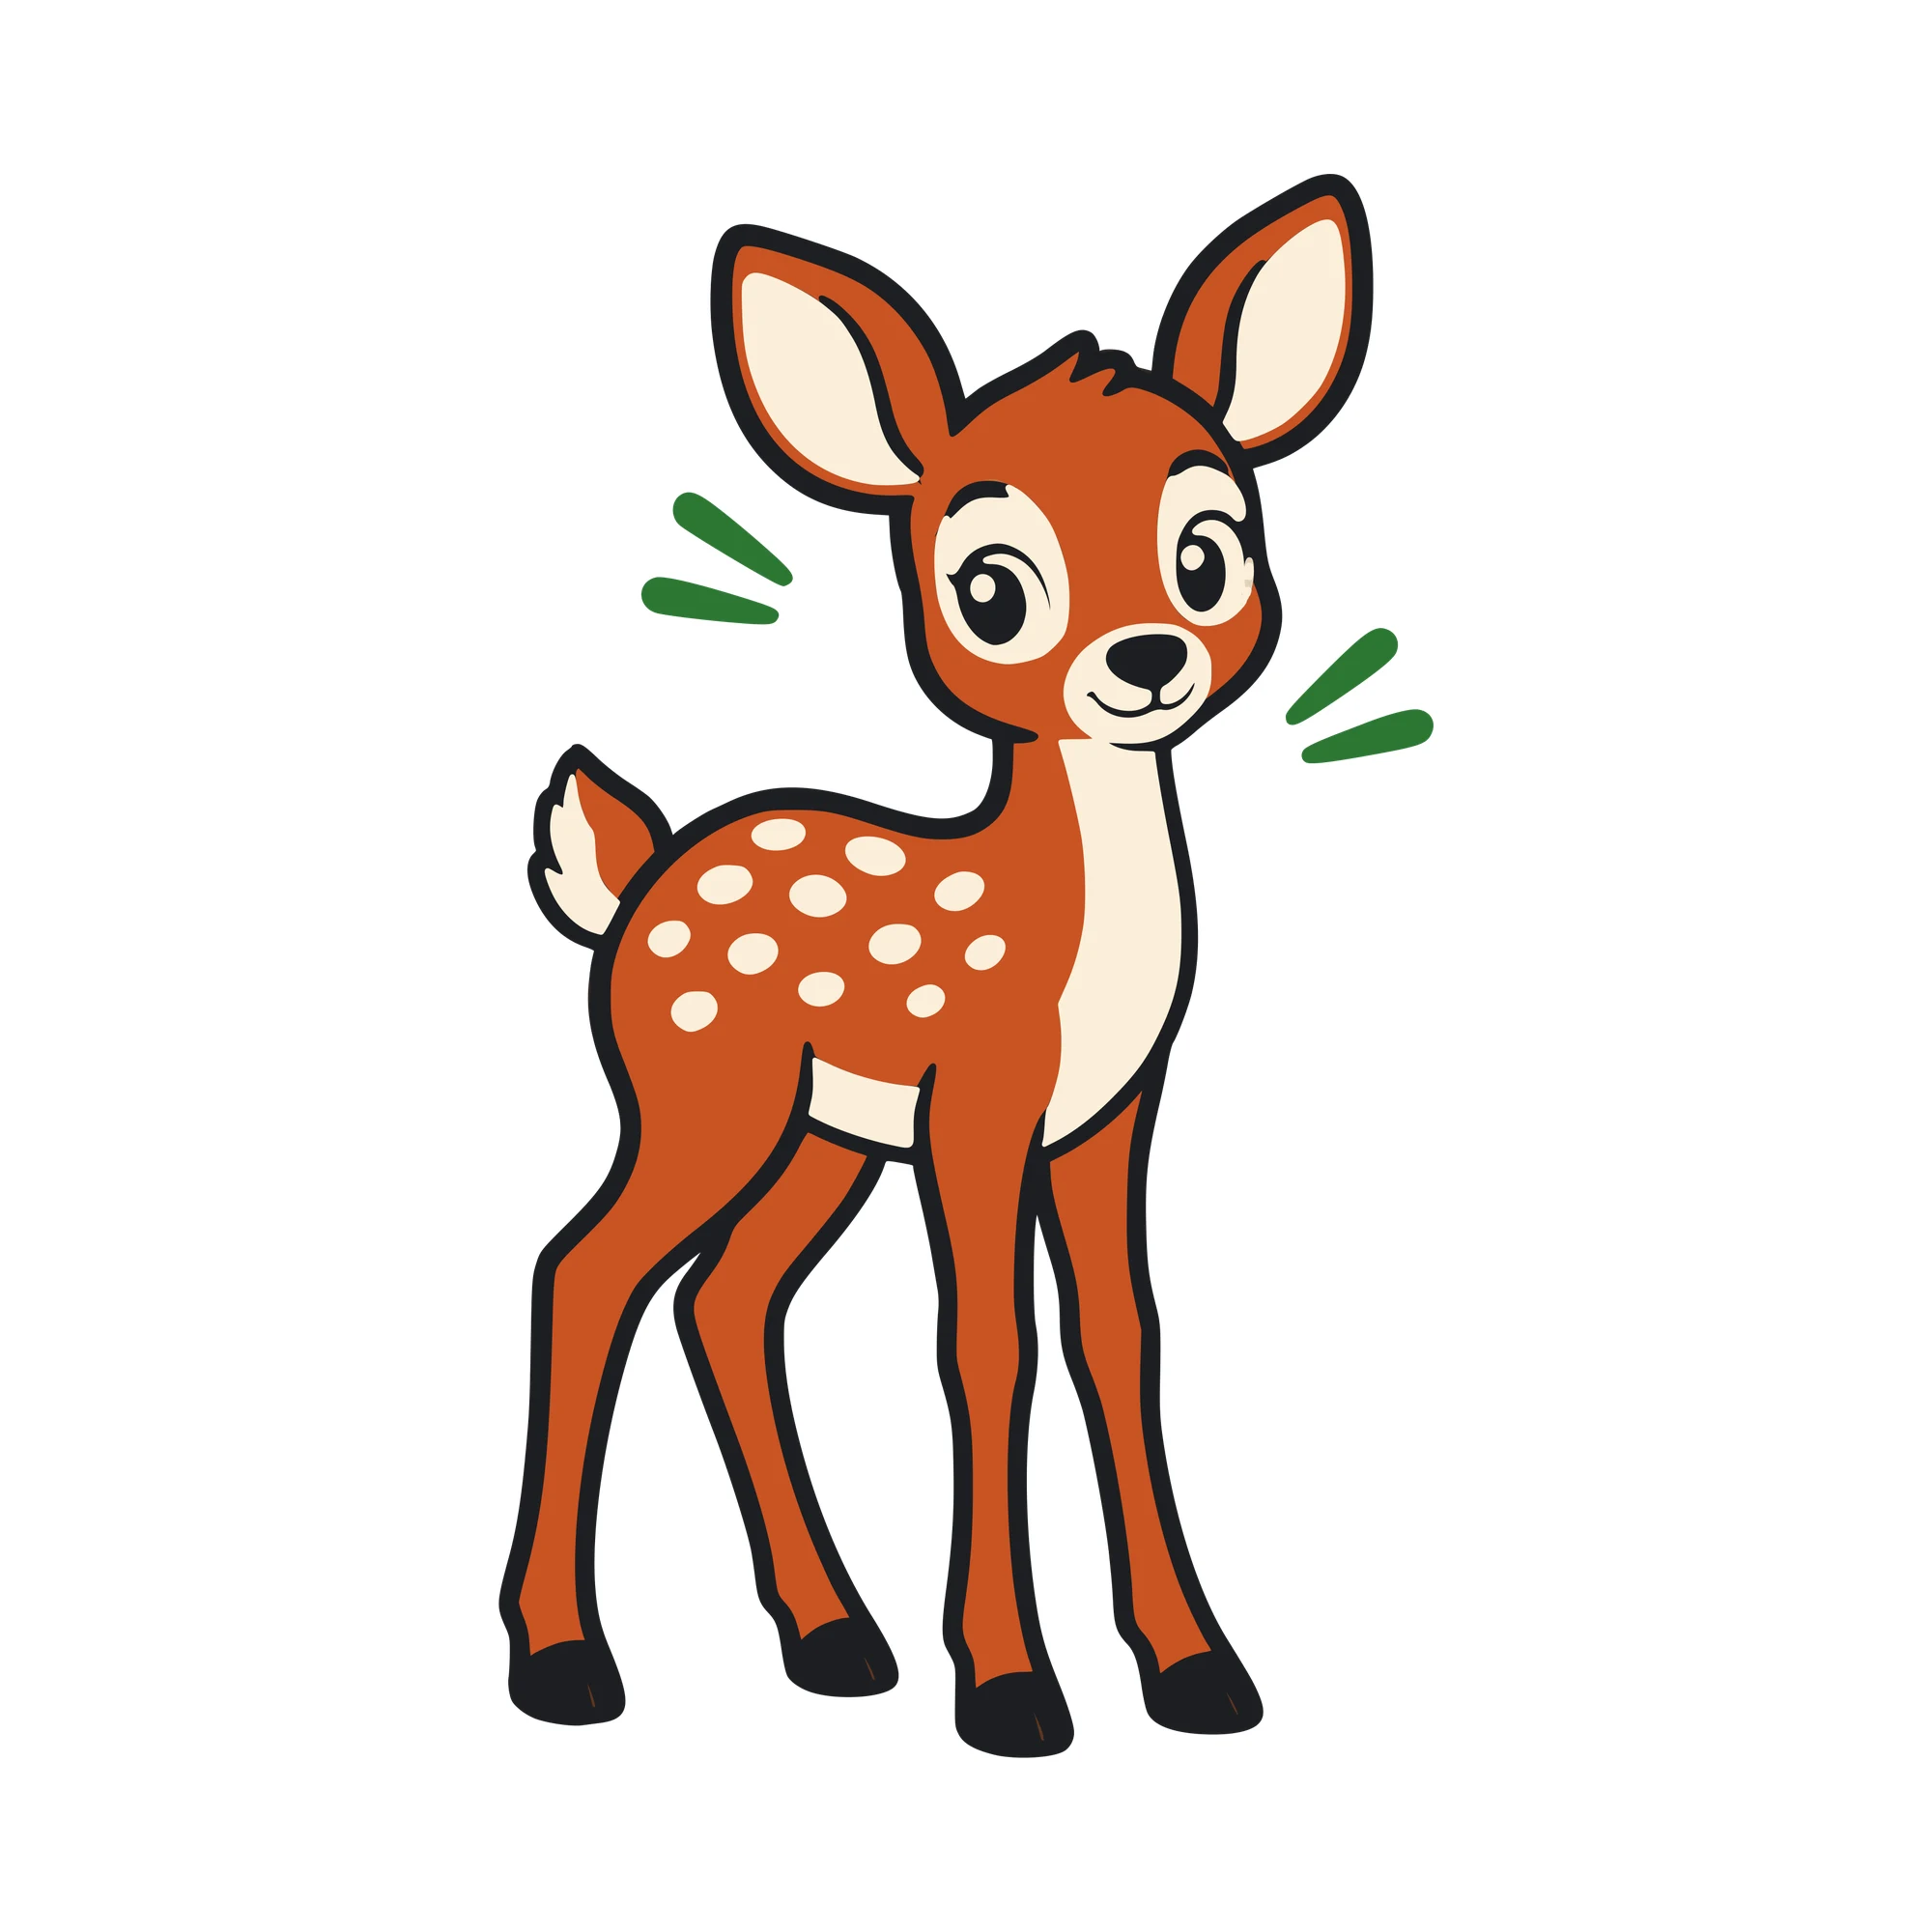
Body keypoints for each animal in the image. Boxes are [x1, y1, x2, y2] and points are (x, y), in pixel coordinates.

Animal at [502, 177, 1372, 1757]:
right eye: (990, 589)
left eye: (1207, 552)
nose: (1144, 660)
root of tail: (634, 882)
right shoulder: (980, 1101)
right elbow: (986, 1346)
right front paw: (1012, 1687)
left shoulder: (1107, 1117)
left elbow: (1119, 1339)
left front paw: (1194, 1668)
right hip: (703, 1093)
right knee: (584, 1272)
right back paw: (565, 1660)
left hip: (821, 1135)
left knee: (726, 1300)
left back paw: (836, 1637)